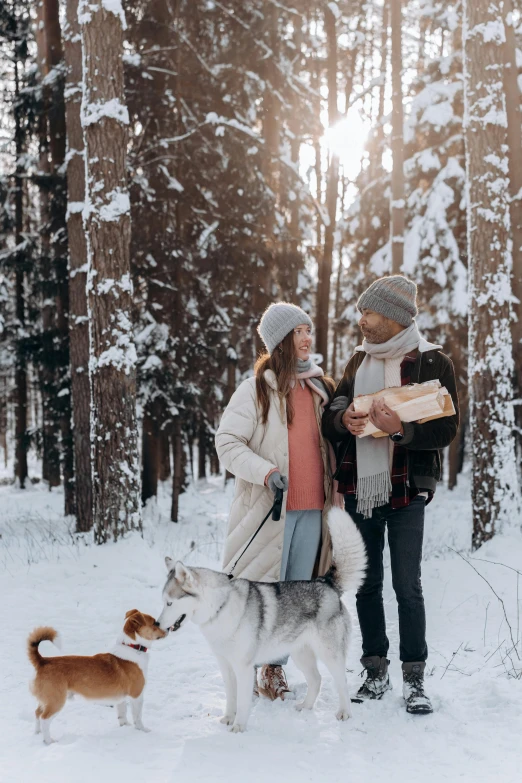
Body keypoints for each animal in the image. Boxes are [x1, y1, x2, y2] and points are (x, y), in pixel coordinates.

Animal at [27, 608, 166, 744]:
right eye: (155, 623)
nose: (168, 629)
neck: (132, 647)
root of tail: (43, 661)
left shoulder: (121, 698)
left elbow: (122, 715)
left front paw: (125, 727)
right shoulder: (136, 696)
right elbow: (138, 717)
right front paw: (142, 730)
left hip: (46, 701)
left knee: (37, 713)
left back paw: (37, 734)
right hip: (56, 701)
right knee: (44, 719)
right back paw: (49, 741)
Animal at [156, 508, 364, 736]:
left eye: (169, 603)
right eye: (163, 602)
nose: (156, 624)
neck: (221, 607)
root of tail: (325, 582)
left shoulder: (244, 667)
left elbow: (243, 702)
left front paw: (238, 726)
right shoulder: (226, 666)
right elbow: (231, 698)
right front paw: (228, 719)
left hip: (329, 655)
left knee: (341, 682)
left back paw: (345, 713)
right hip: (301, 654)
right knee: (316, 680)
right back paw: (306, 707)